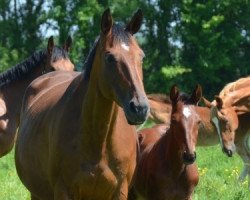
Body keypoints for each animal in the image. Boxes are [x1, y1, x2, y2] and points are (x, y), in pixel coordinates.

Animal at [15, 8, 148, 199]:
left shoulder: (120, 191)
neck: (98, 140)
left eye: (141, 56)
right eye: (109, 57)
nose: (139, 108)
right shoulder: (63, 190)